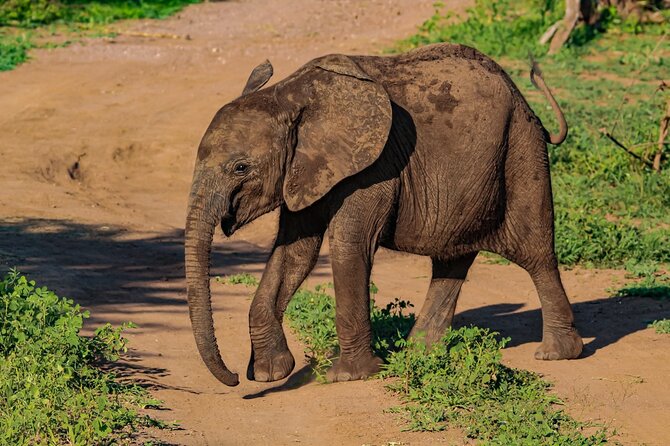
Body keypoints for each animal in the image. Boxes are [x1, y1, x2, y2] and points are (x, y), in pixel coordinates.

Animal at [185, 43, 583, 387]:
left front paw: (349, 376)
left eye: (240, 168)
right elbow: (295, 253)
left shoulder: (374, 167)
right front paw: (272, 374)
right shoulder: (305, 169)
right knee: (452, 259)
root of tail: (524, 99)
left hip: (521, 149)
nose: (235, 378)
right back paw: (419, 353)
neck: (289, 94)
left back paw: (556, 354)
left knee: (534, 252)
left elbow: (349, 245)